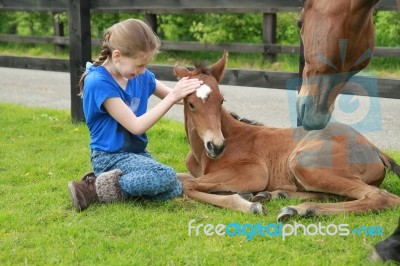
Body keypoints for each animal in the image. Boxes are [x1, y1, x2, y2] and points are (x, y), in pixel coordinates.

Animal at [175, 52, 400, 220]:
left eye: (221, 100)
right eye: (191, 104)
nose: (217, 146)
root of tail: (374, 149)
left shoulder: (254, 171)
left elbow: (188, 185)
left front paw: (248, 204)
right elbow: (181, 178)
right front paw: (248, 195)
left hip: (303, 162)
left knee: (380, 195)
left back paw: (297, 209)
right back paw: (276, 195)